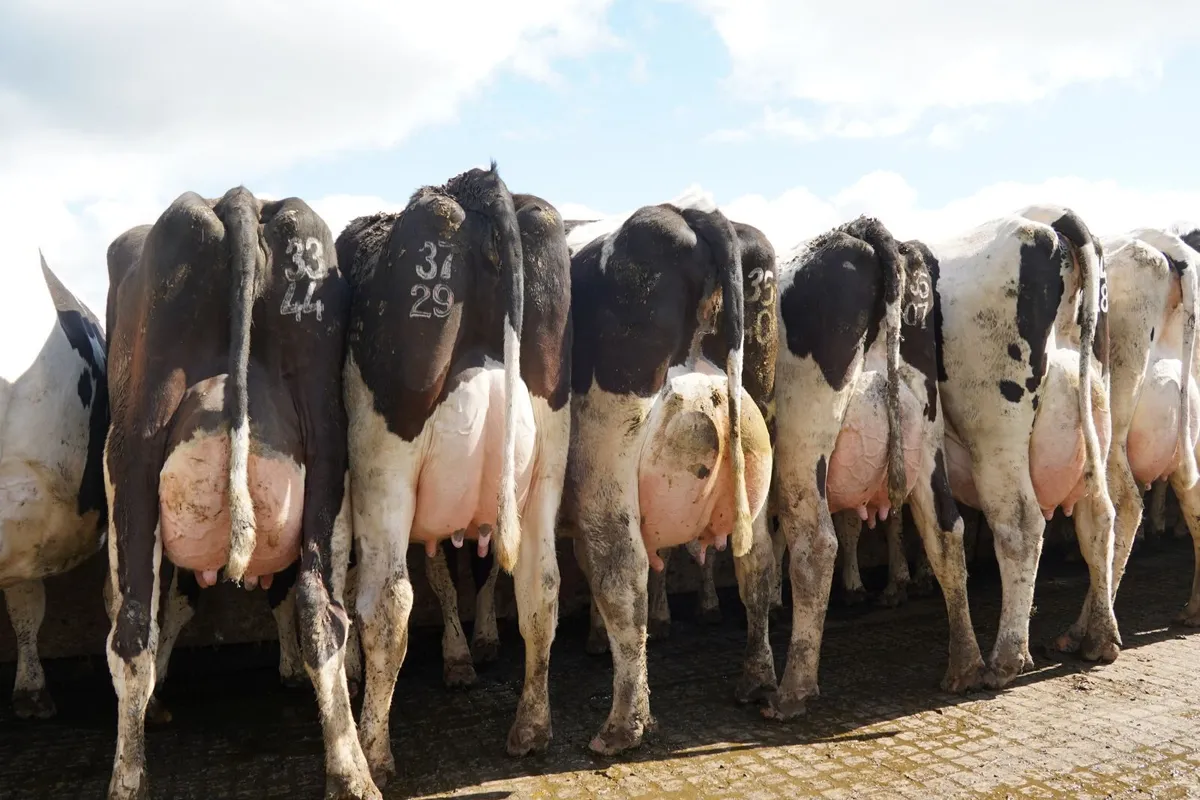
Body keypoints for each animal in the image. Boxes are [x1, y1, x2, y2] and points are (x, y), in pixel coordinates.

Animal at [103, 188, 375, 800]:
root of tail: (238, 198)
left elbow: (175, 604)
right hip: (329, 444)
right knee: (320, 608)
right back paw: (352, 772)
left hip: (132, 449)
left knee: (132, 626)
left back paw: (128, 778)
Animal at [339, 163, 571, 781]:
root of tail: (471, 188)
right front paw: (460, 656)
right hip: (549, 460)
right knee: (541, 588)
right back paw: (531, 729)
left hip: (386, 464)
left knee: (387, 603)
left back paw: (374, 751)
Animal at [563, 199, 776, 755]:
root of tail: (687, 213)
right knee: (758, 568)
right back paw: (757, 681)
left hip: (604, 467)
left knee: (621, 572)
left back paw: (622, 727)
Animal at [768, 216, 983, 719]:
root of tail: (861, 231)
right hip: (925, 435)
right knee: (946, 530)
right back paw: (965, 665)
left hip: (803, 440)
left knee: (815, 544)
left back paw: (792, 690)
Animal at [926, 205, 1118, 688]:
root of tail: (1050, 224)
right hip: (1094, 414)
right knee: (1100, 515)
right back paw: (1100, 639)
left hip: (996, 432)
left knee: (1019, 524)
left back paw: (1006, 658)